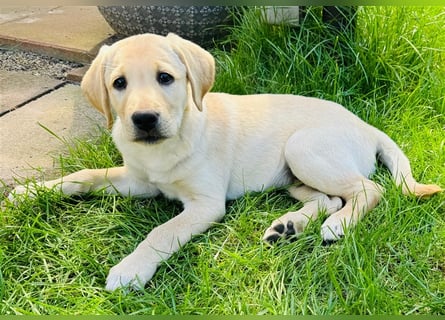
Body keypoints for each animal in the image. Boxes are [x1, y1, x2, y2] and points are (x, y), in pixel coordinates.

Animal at [8, 33, 438, 292]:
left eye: (166, 78)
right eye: (119, 84)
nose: (144, 120)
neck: (168, 143)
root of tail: (366, 126)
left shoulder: (205, 203)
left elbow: (161, 232)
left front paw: (131, 269)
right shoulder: (139, 180)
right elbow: (85, 175)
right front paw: (30, 192)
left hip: (303, 148)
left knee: (369, 188)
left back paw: (339, 225)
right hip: (293, 174)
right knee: (329, 198)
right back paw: (288, 226)